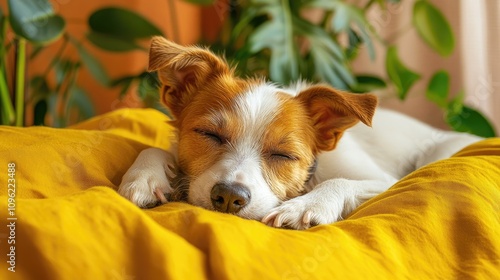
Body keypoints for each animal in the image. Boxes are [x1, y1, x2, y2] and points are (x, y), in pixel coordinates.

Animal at [117, 36, 480, 230]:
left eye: (284, 155)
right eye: (209, 134)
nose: (230, 196)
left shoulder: (385, 181)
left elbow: (341, 182)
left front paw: (306, 205)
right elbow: (154, 149)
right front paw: (144, 177)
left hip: (439, 152)